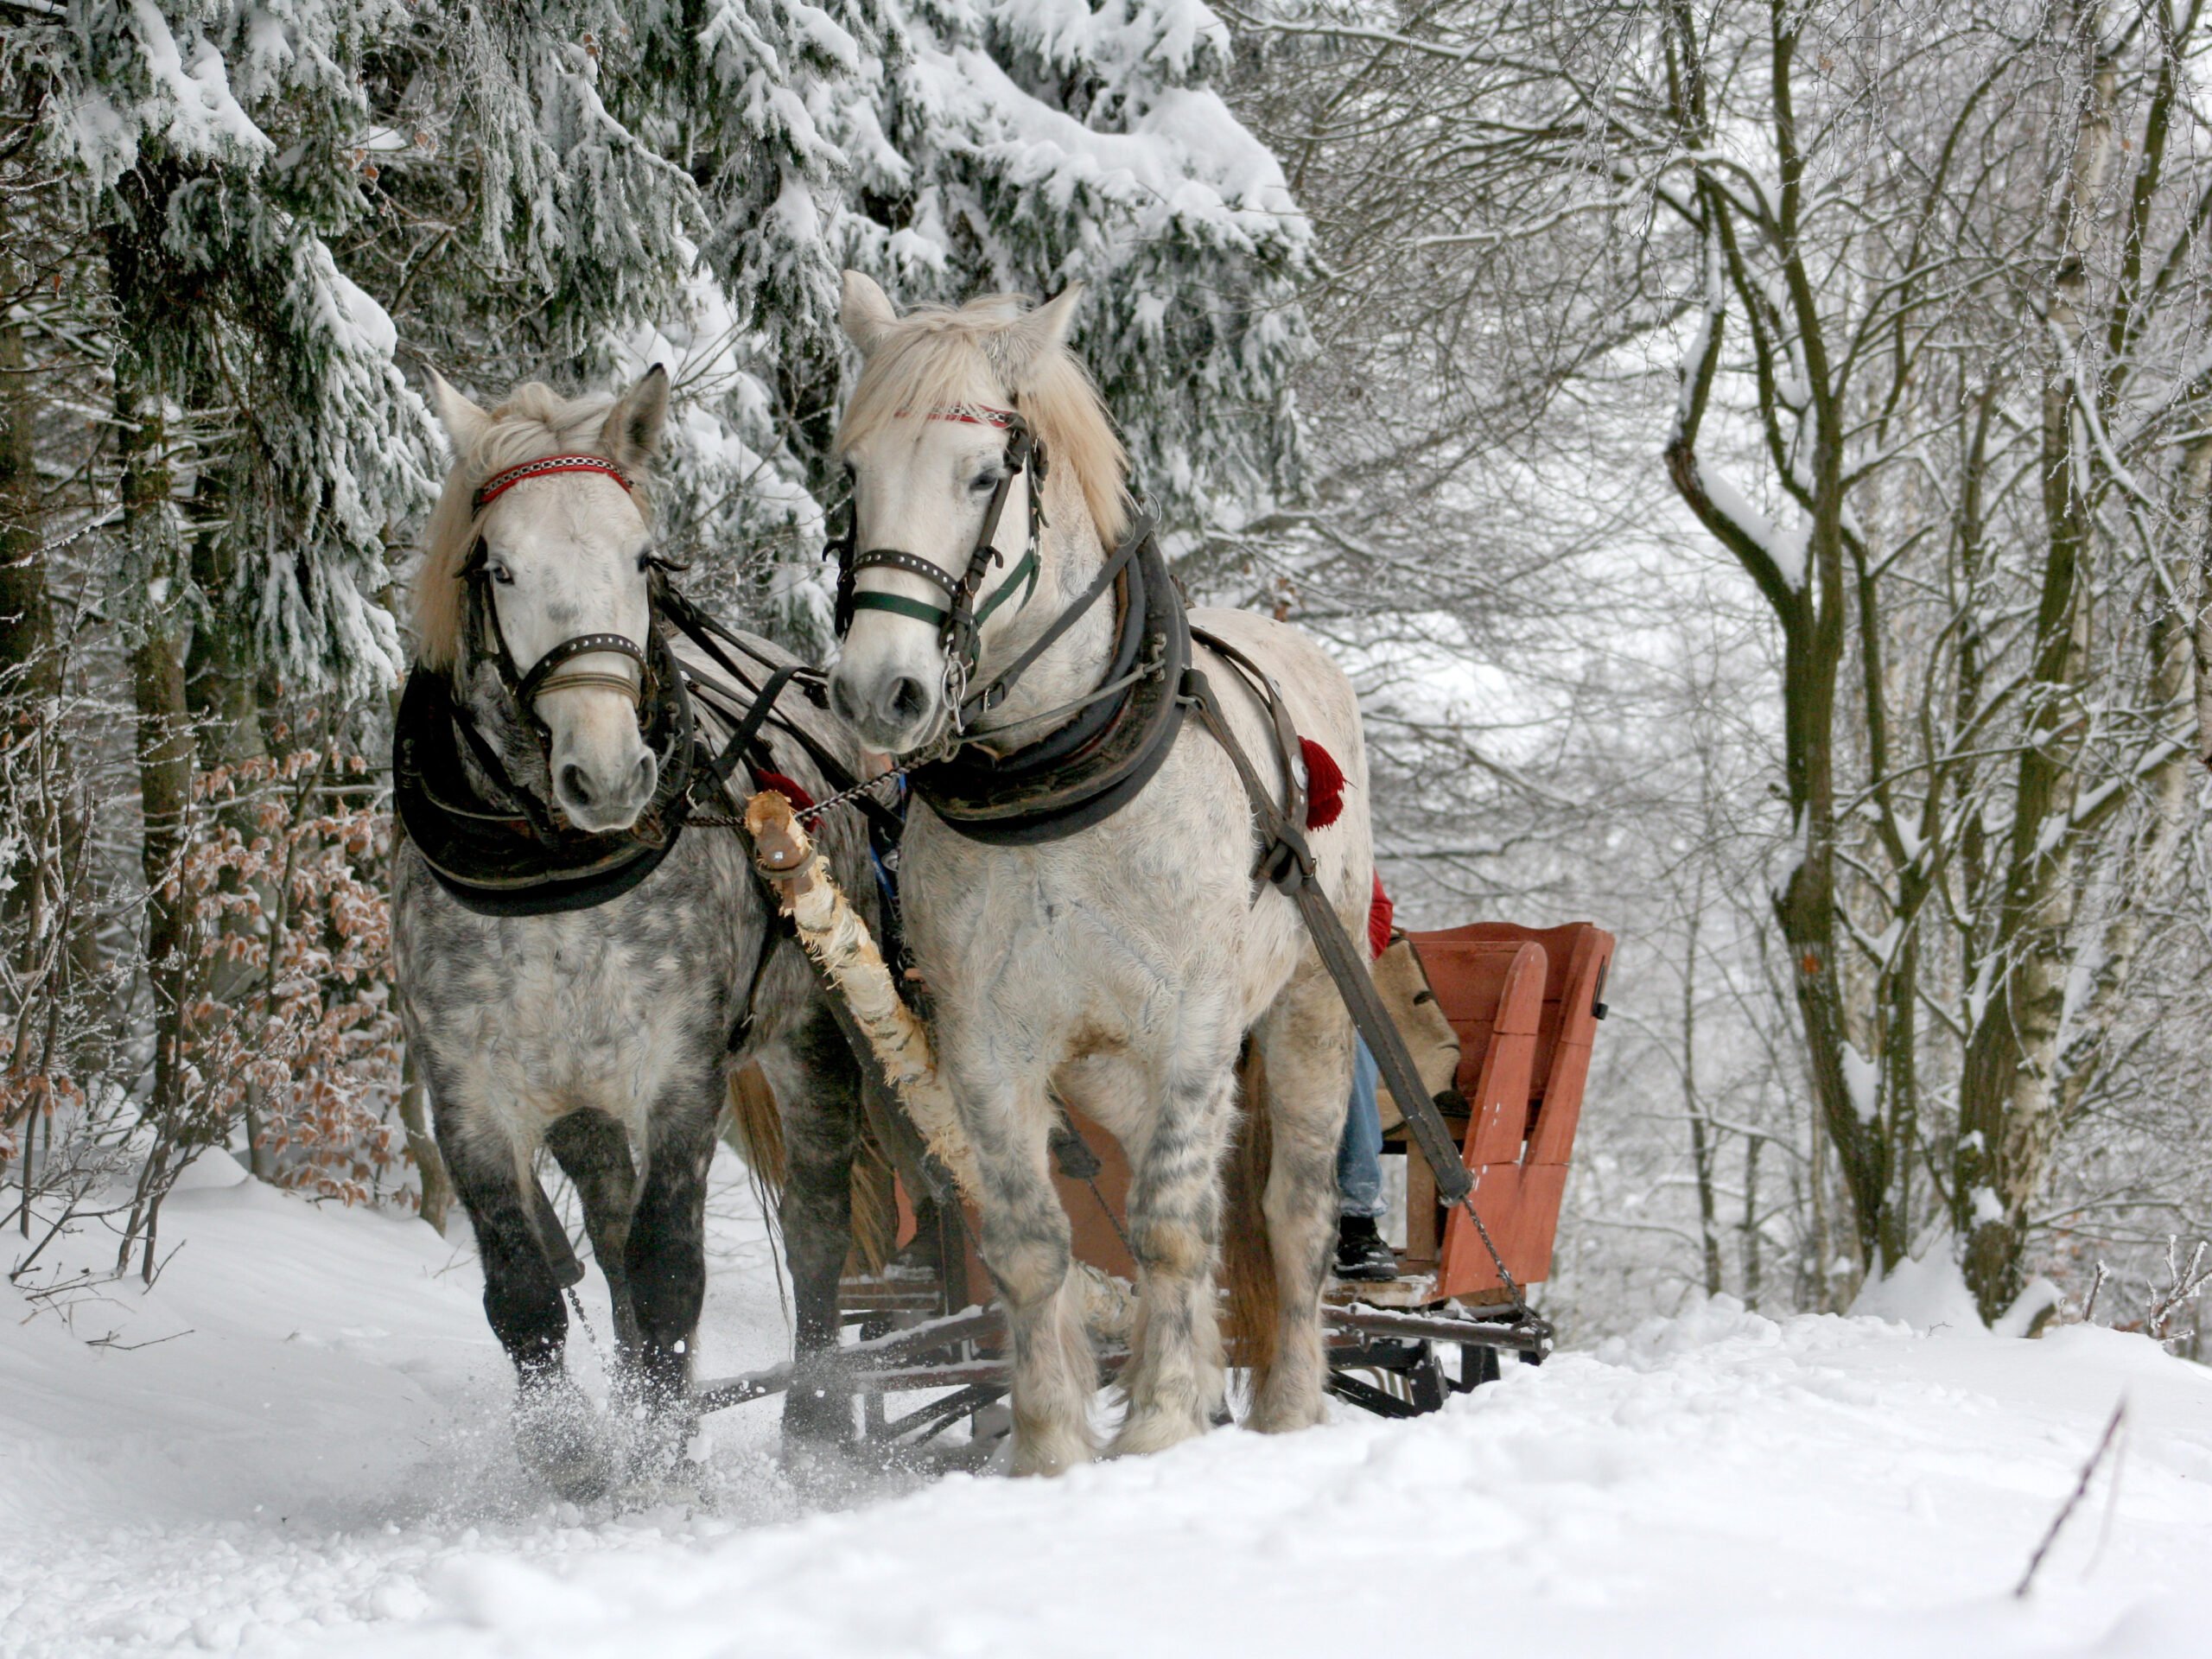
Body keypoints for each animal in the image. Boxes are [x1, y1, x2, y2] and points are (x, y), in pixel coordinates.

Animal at [823, 276, 1362, 1478]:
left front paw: (1159, 1422)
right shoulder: (986, 1042)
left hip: (1308, 1010)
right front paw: (1052, 1446)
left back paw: (1288, 1406)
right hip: (1108, 1066)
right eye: (853, 473)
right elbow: (1031, 1241)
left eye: (985, 475)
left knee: (1288, 1211)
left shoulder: (1196, 1025)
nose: (880, 691)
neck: (1055, 775)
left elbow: (1169, 1222)